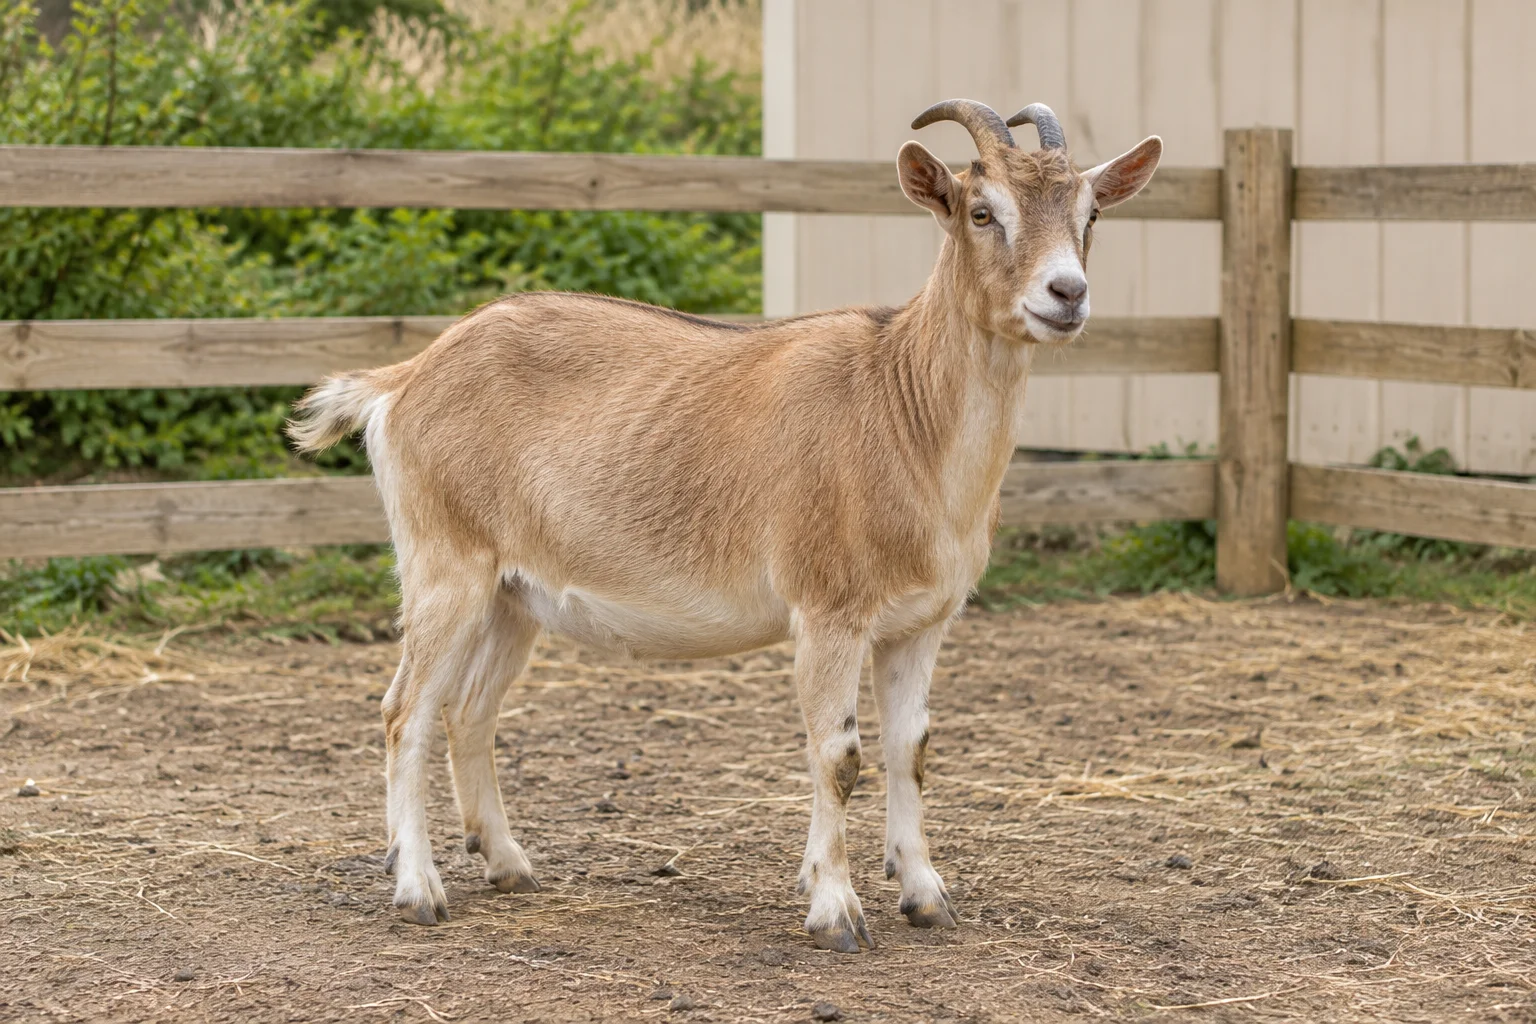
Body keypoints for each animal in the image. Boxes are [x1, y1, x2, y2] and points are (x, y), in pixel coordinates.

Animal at [289, 100, 1161, 953]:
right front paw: (836, 912)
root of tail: (403, 379)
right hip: (445, 563)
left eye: (1089, 213)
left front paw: (924, 897)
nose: (1066, 293)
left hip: (512, 594)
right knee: (405, 711)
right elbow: (839, 756)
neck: (901, 411)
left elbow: (910, 750)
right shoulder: (828, 611)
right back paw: (417, 889)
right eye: (983, 211)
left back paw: (509, 864)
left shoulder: (921, 624)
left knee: (469, 710)